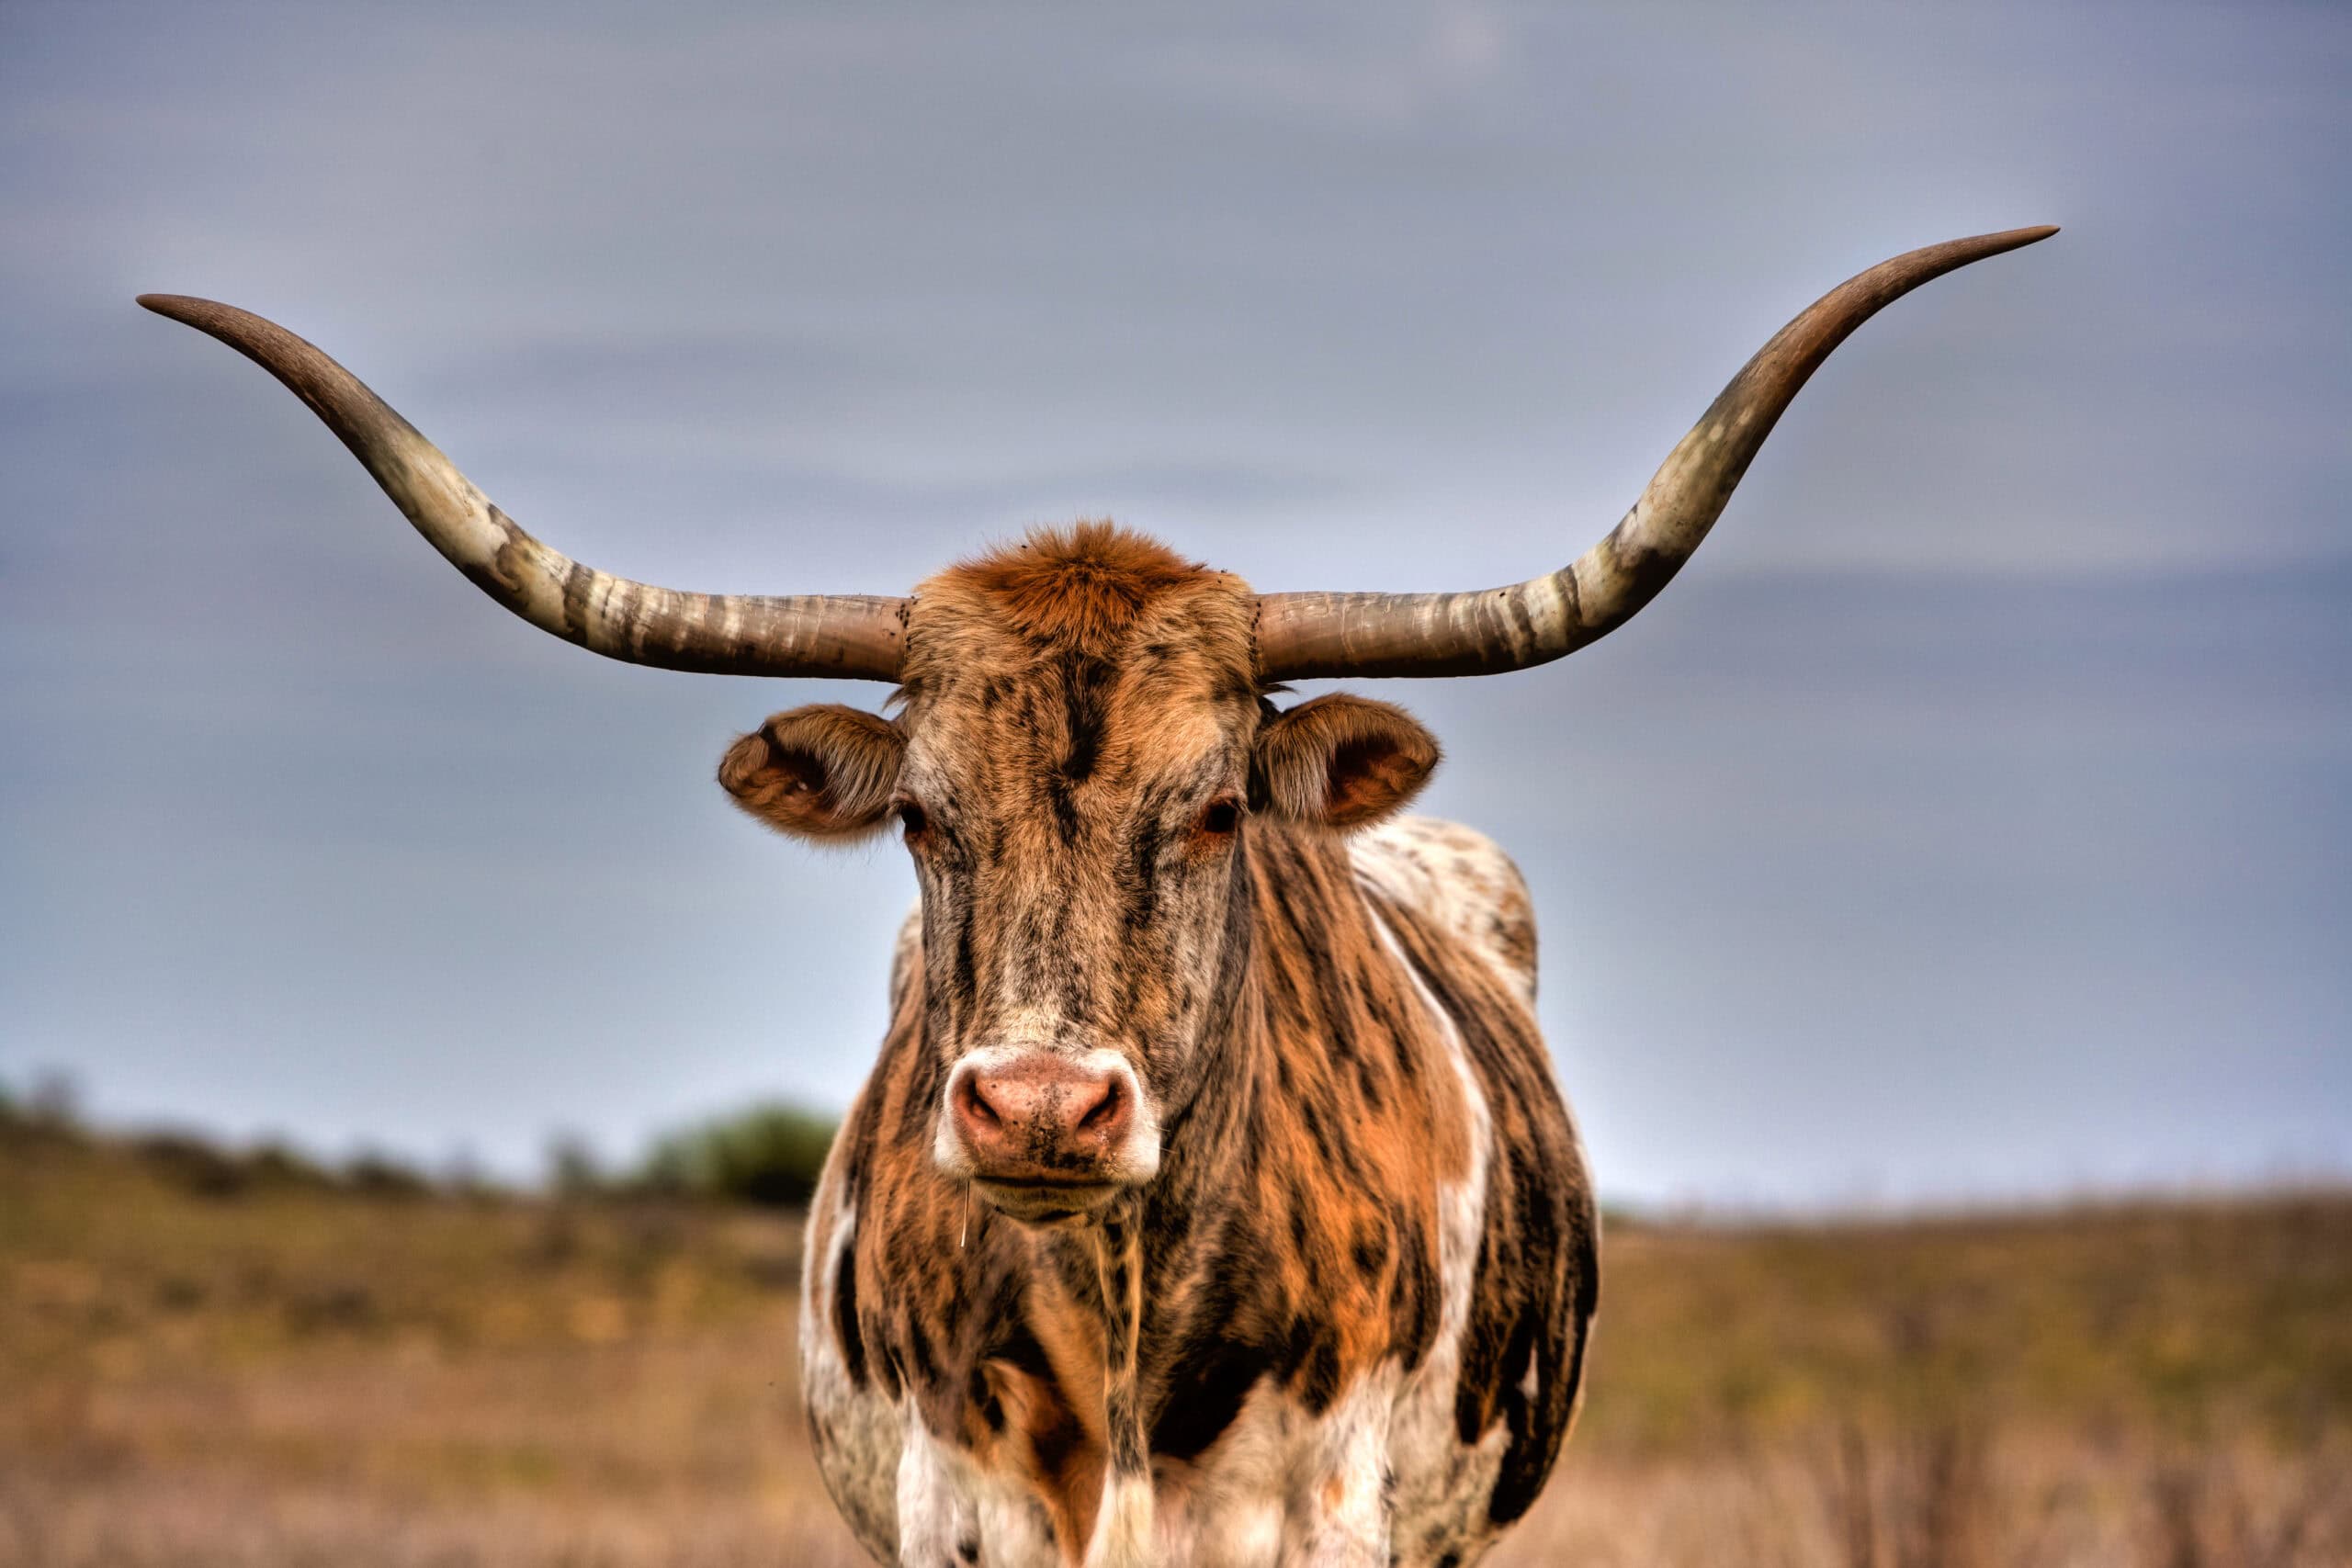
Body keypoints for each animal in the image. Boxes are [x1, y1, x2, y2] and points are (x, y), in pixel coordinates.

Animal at [141, 226, 2060, 1561]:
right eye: (924, 817)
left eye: (1214, 806)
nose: (1044, 1107)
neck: (1133, 1332)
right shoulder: (959, 1508)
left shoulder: (1335, 1517)